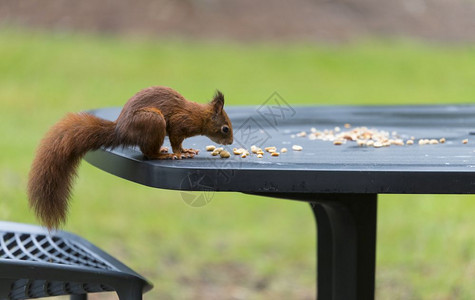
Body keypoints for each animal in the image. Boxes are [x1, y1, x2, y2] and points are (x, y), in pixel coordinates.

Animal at [27, 85, 234, 229]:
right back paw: (163, 155)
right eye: (225, 128)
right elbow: (176, 140)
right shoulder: (178, 124)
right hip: (153, 121)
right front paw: (178, 153)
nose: (231, 141)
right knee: (148, 153)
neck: (199, 117)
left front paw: (186, 150)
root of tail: (121, 131)